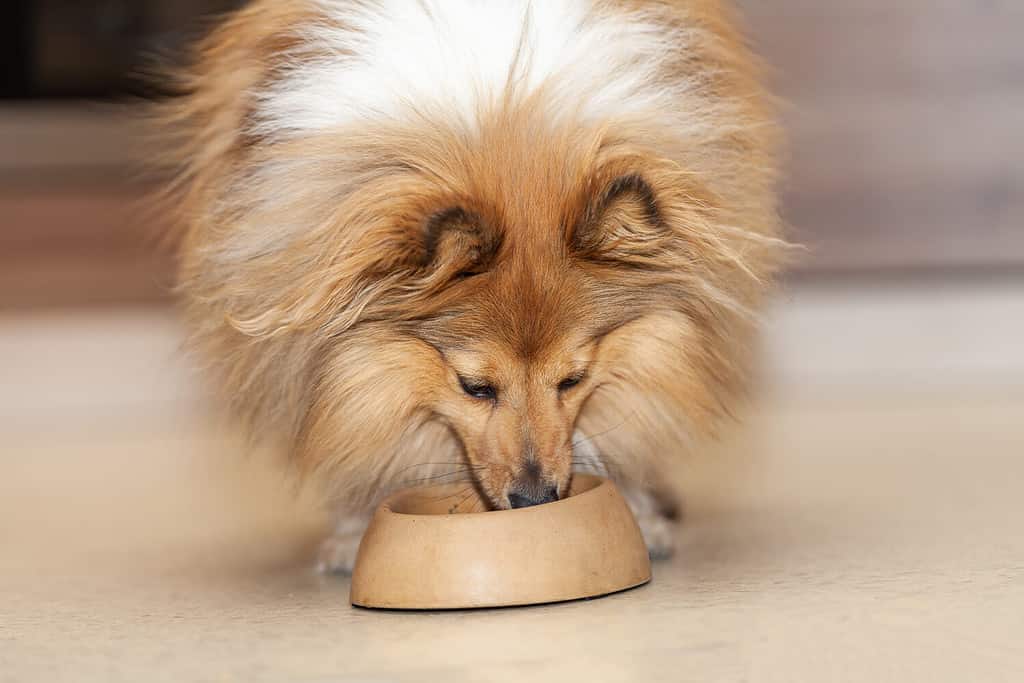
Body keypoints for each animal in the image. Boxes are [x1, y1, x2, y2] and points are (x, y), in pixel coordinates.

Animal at [161, 0, 782, 573]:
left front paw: (638, 512)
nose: (536, 499)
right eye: (475, 387)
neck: (504, 110)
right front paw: (354, 531)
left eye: (572, 379)